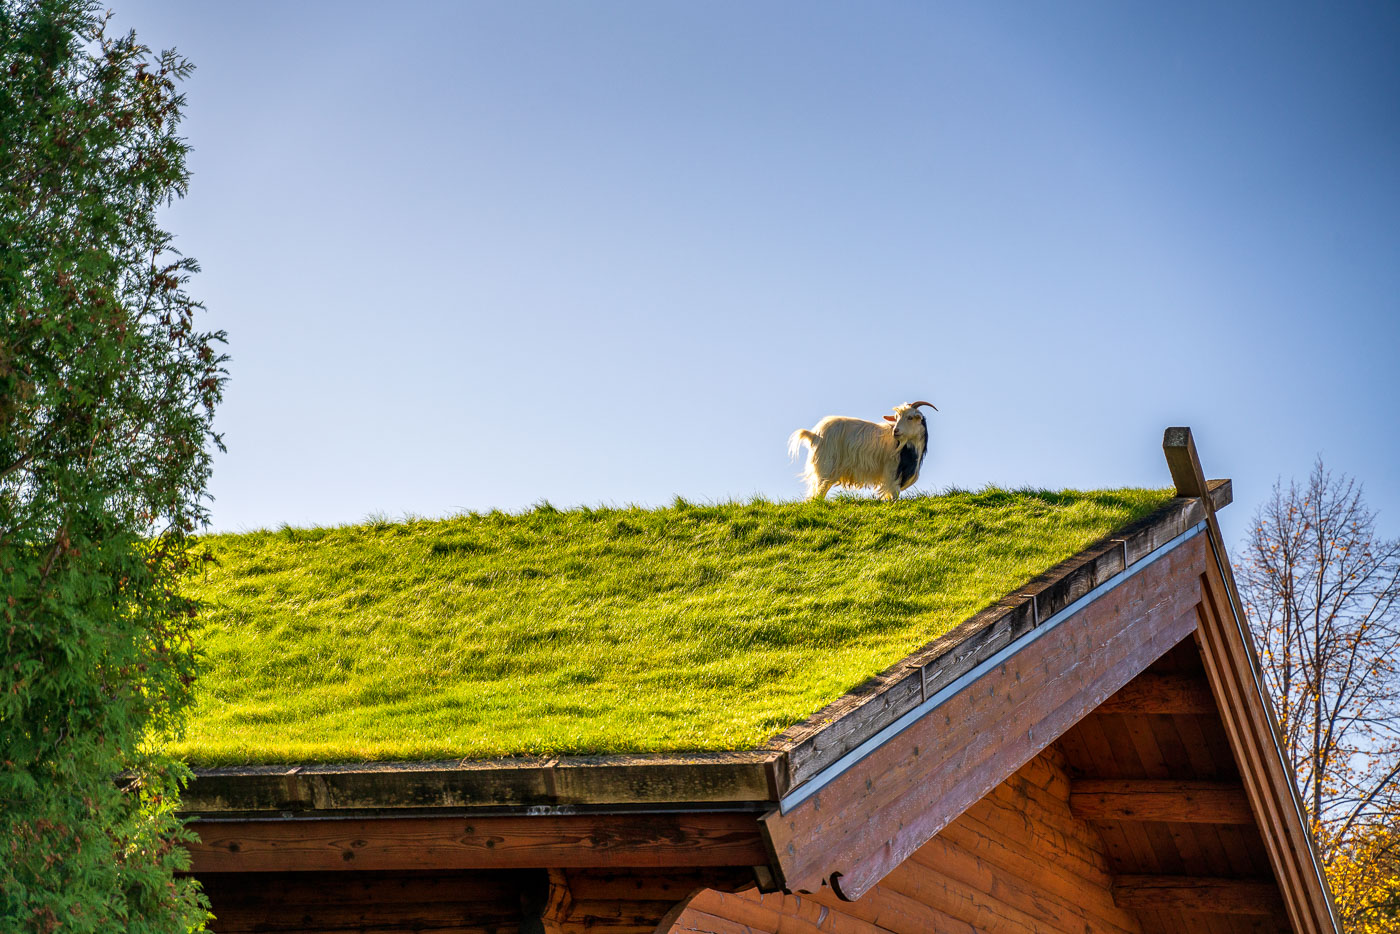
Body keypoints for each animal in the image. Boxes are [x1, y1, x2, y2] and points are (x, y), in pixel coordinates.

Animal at [795, 403, 935, 504]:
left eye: (910, 417)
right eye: (896, 418)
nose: (895, 431)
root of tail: (815, 435)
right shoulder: (892, 471)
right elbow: (894, 493)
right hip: (826, 465)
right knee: (819, 490)